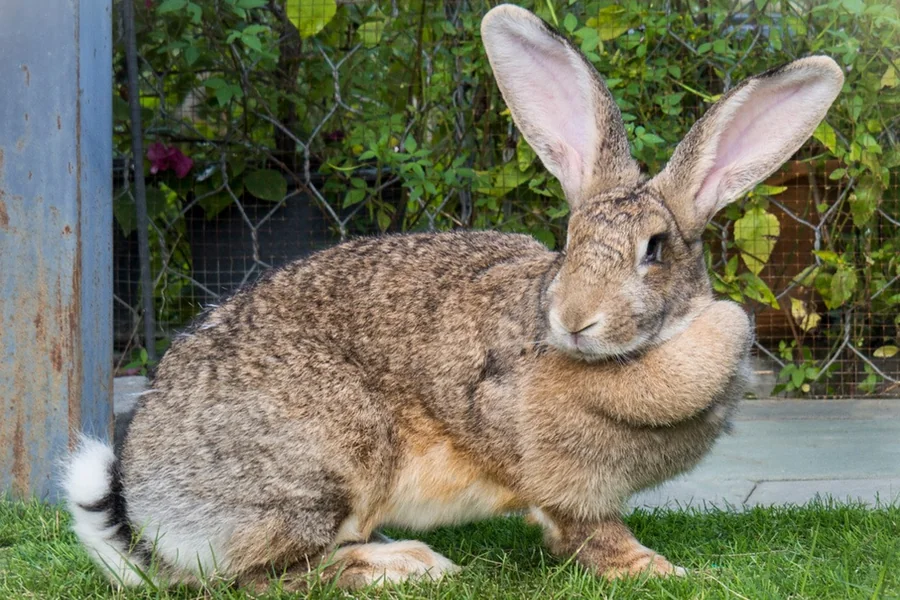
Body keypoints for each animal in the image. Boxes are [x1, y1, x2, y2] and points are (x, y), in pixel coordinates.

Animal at [63, 3, 843, 591]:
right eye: (569, 239)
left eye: (655, 249)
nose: (574, 320)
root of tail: (149, 512)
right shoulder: (561, 480)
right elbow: (593, 535)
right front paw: (664, 571)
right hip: (324, 462)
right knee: (264, 577)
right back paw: (404, 566)